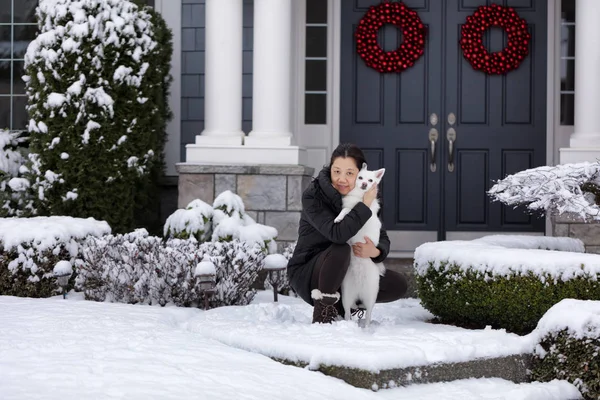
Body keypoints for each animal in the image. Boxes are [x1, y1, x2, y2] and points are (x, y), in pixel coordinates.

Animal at [332, 163, 384, 328]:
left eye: (370, 180)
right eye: (360, 177)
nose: (364, 184)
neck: (359, 197)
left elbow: (349, 210)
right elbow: (345, 209)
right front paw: (338, 217)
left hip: (371, 297)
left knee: (368, 314)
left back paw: (366, 328)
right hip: (346, 296)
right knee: (348, 313)